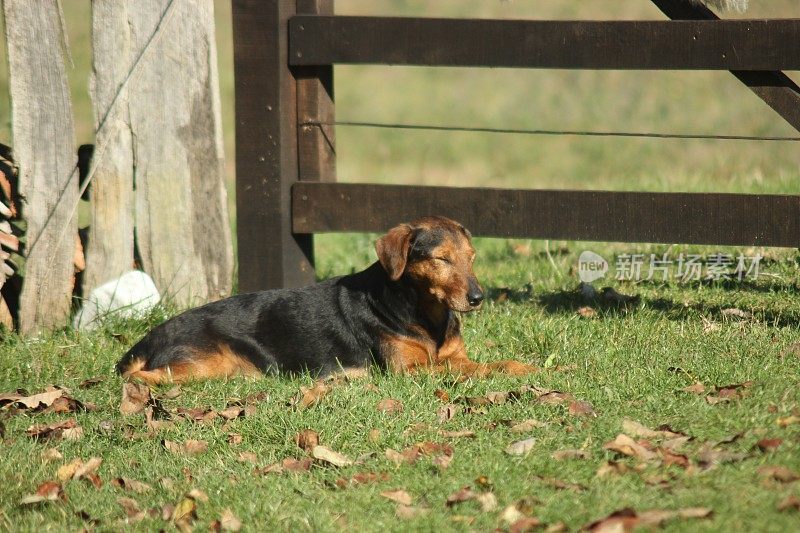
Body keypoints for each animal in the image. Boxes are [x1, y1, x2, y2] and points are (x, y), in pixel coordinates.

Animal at [117, 216, 536, 382]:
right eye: (441, 259)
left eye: (472, 258)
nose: (478, 298)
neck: (423, 311)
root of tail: (151, 336)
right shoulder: (409, 370)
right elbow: (472, 370)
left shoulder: (452, 355)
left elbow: (488, 363)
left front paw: (522, 367)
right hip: (201, 363)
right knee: (141, 377)